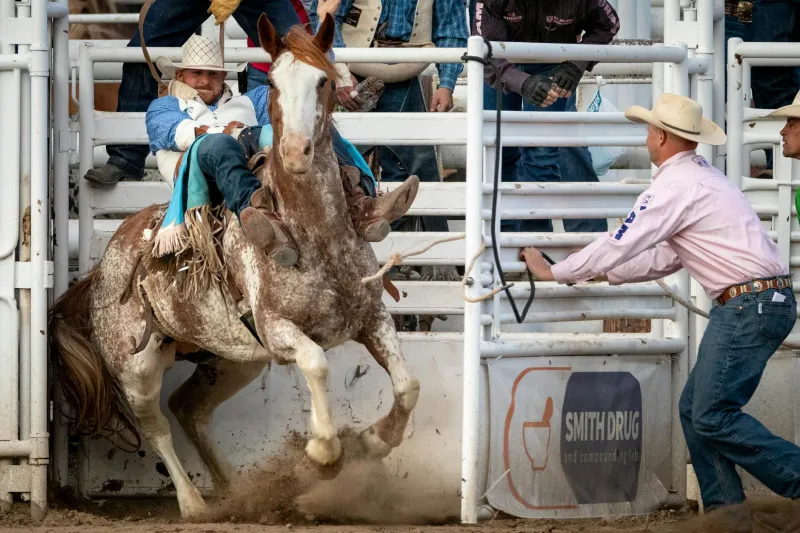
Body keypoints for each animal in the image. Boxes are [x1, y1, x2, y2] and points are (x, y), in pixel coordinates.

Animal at [50, 13, 420, 518]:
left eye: (323, 80)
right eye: (275, 84)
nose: (295, 152)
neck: (315, 235)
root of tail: (101, 270)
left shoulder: (373, 318)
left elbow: (407, 386)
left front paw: (374, 440)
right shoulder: (278, 330)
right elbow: (317, 363)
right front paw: (322, 454)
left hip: (229, 358)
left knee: (190, 409)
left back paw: (234, 491)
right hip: (136, 369)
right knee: (156, 426)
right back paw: (194, 505)